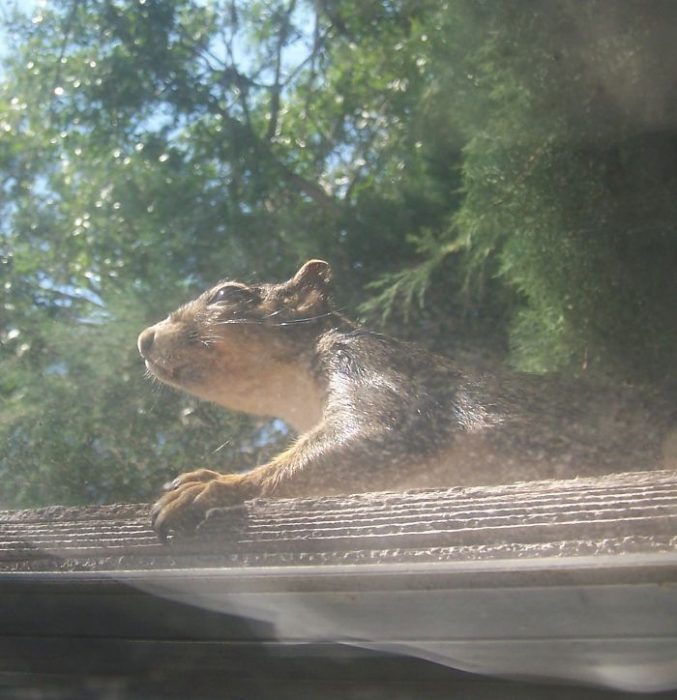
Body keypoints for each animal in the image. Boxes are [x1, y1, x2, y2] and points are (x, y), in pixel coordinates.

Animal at [139, 260, 676, 540]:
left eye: (228, 294)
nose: (145, 341)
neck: (298, 394)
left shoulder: (369, 364)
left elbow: (380, 430)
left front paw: (217, 486)